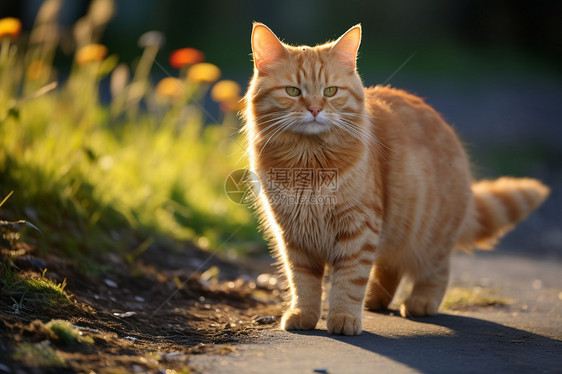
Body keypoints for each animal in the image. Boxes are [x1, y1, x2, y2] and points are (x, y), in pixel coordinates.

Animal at [242, 22, 548, 336]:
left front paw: (344, 318)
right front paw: (304, 314)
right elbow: (303, 282)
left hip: (427, 234)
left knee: (437, 270)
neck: (307, 162)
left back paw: (420, 302)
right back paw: (375, 299)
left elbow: (349, 280)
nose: (315, 109)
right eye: (293, 91)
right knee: (390, 267)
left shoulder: (358, 227)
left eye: (330, 91)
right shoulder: (294, 236)